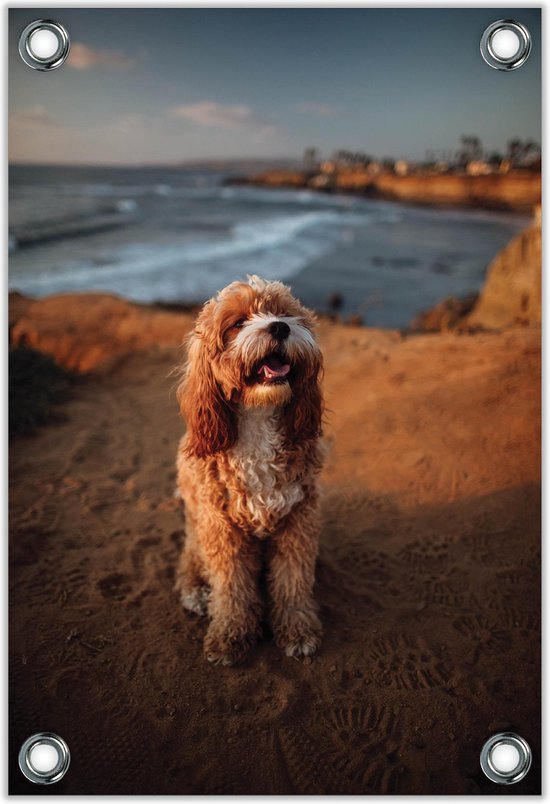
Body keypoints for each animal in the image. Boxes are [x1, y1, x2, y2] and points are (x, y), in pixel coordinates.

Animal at [175, 276, 326, 664]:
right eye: (238, 323)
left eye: (284, 313)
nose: (279, 327)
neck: (258, 419)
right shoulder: (221, 527)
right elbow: (231, 586)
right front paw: (230, 634)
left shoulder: (298, 519)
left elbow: (292, 580)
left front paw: (297, 629)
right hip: (197, 530)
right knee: (189, 562)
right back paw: (197, 592)